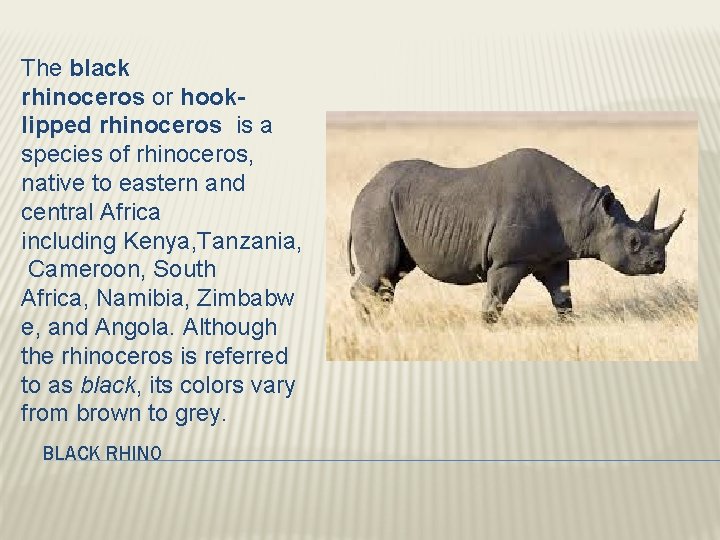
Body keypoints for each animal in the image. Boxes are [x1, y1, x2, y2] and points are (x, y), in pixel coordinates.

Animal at [347, 148, 685, 322]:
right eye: (633, 242)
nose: (660, 264)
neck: (588, 213)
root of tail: (363, 189)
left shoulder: (553, 256)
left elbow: (563, 298)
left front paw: (568, 326)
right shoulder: (509, 261)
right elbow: (494, 303)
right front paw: (487, 330)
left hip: (386, 204)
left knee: (392, 274)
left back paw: (380, 323)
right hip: (377, 205)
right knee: (382, 269)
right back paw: (369, 327)